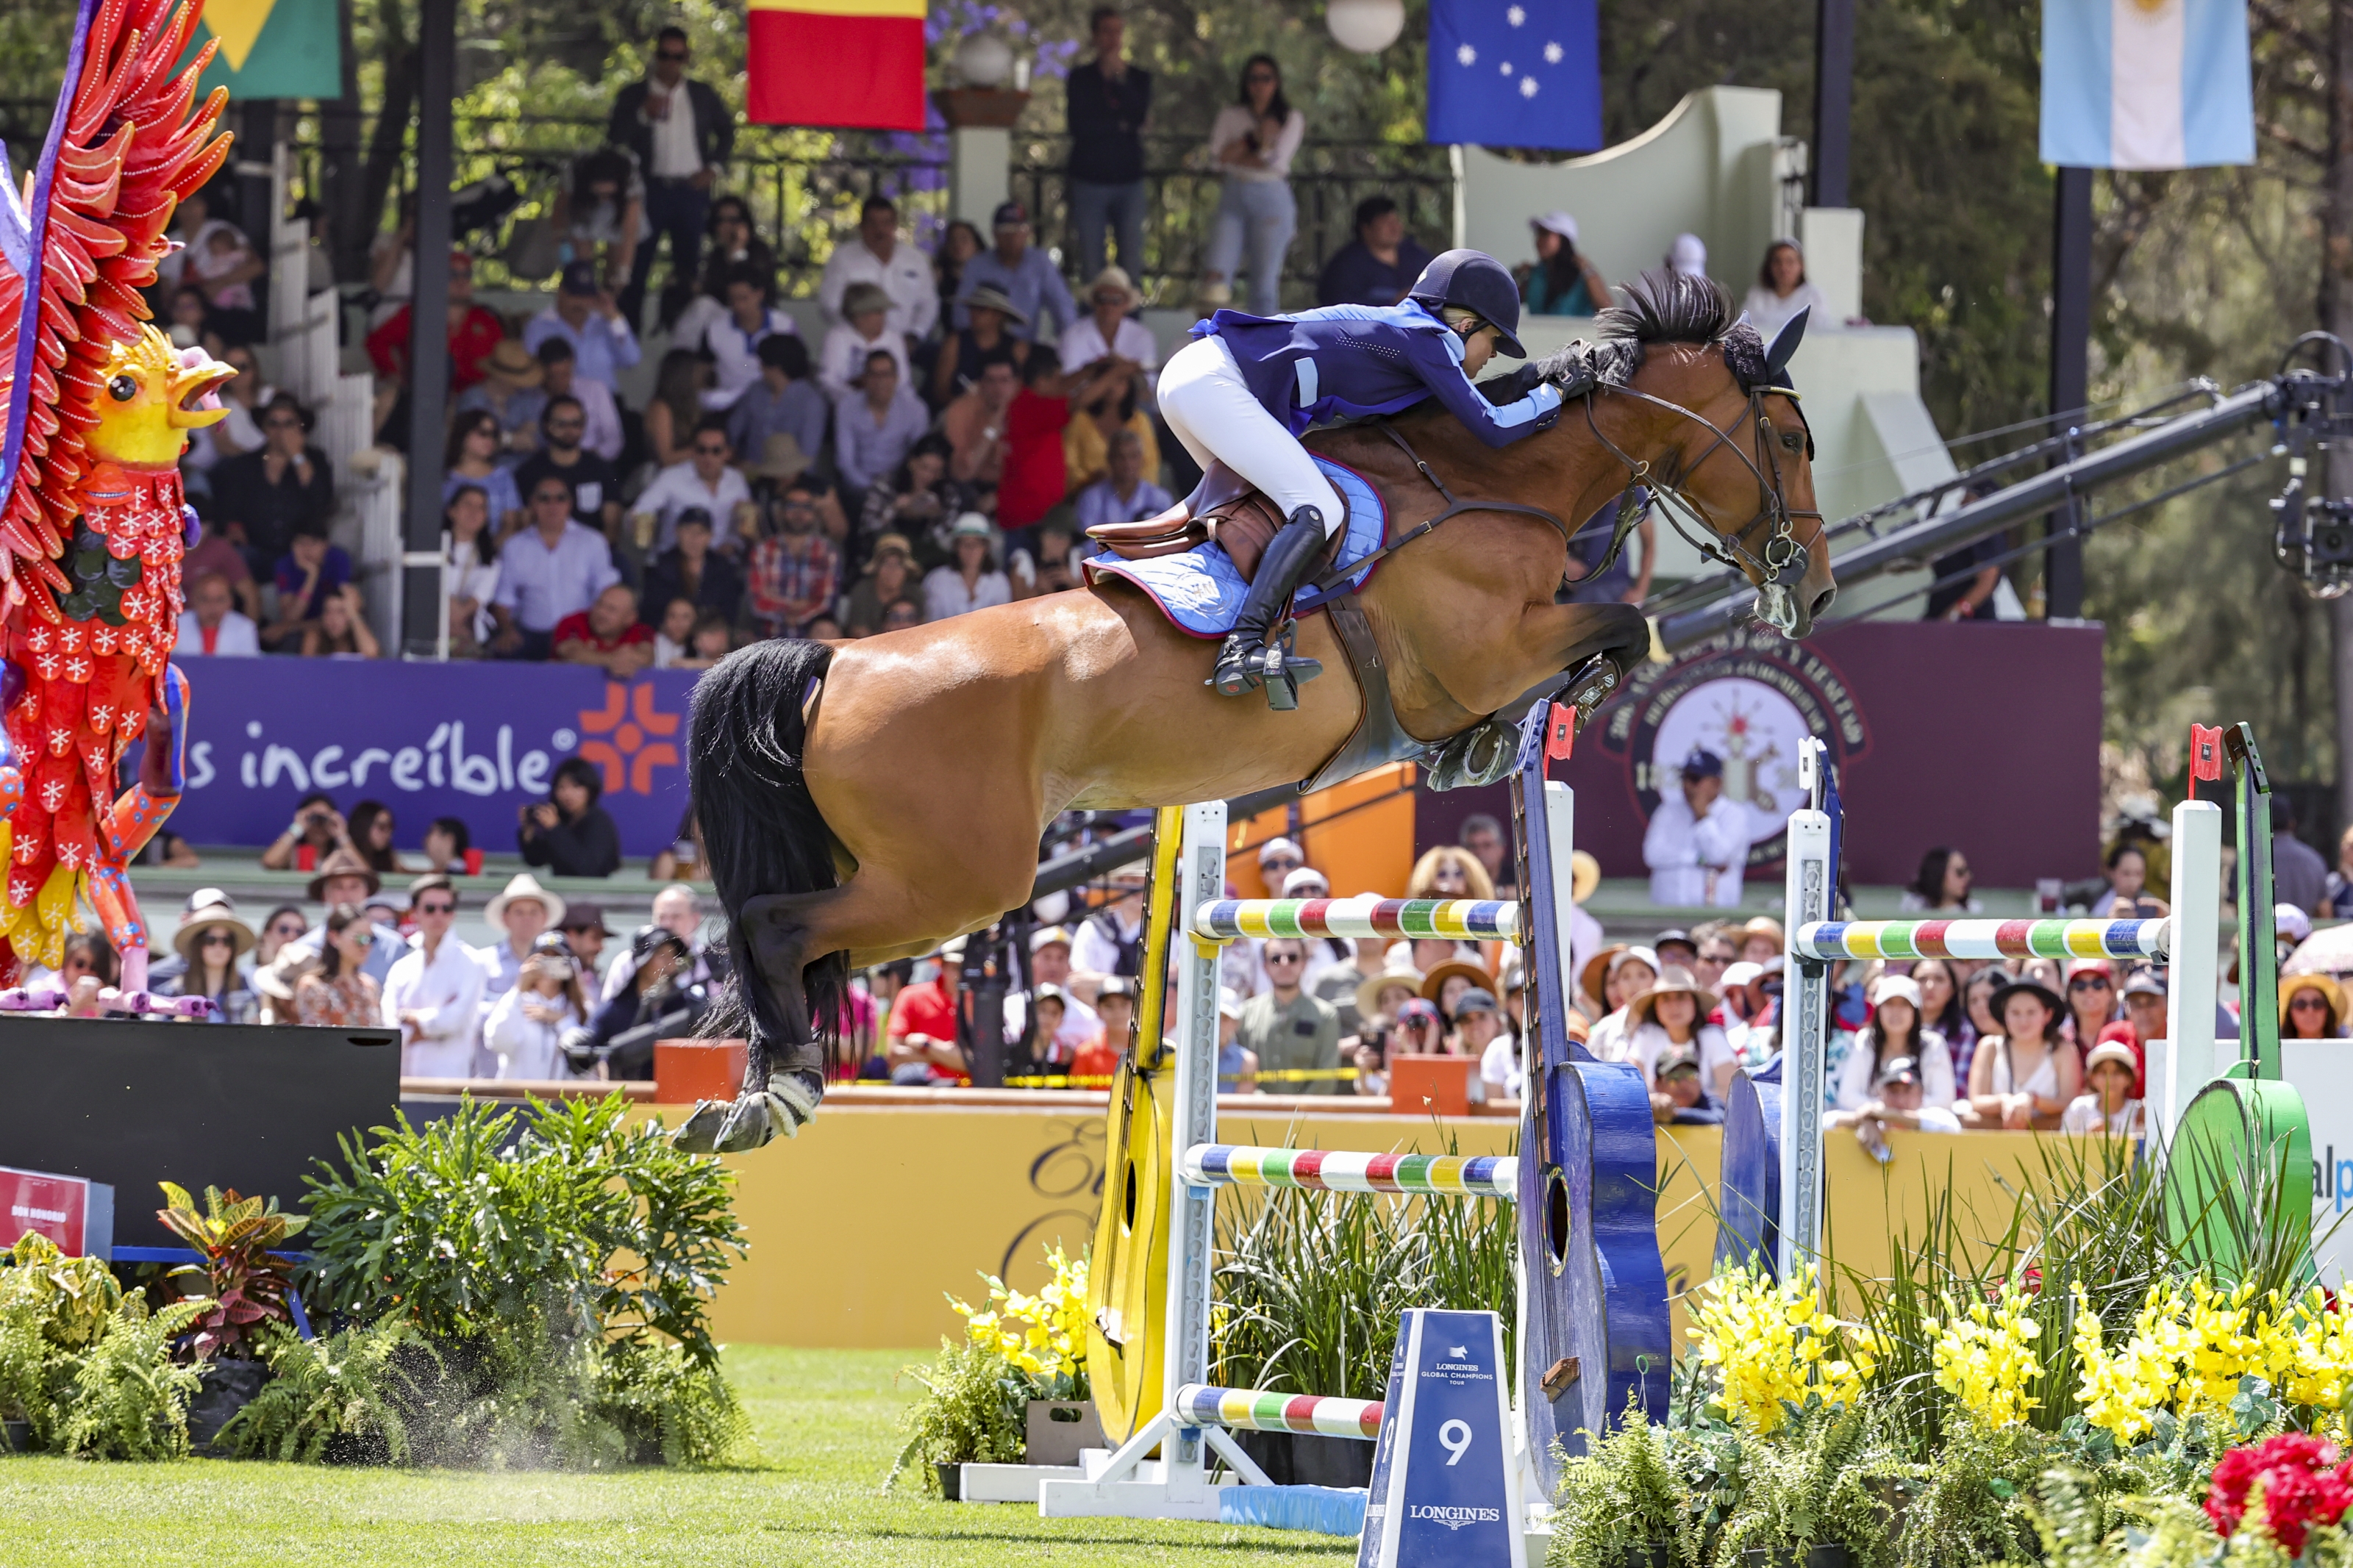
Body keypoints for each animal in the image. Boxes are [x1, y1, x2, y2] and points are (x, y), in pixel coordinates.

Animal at [682, 270, 1835, 1151]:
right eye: (1789, 435)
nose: (1812, 591)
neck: (1491, 480)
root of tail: (834, 662)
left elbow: (1607, 632)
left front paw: (1480, 749)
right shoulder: (1482, 652)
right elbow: (1623, 624)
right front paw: (1535, 717)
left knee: (778, 935)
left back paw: (757, 1096)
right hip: (956, 879)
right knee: (775, 926)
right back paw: (778, 1095)